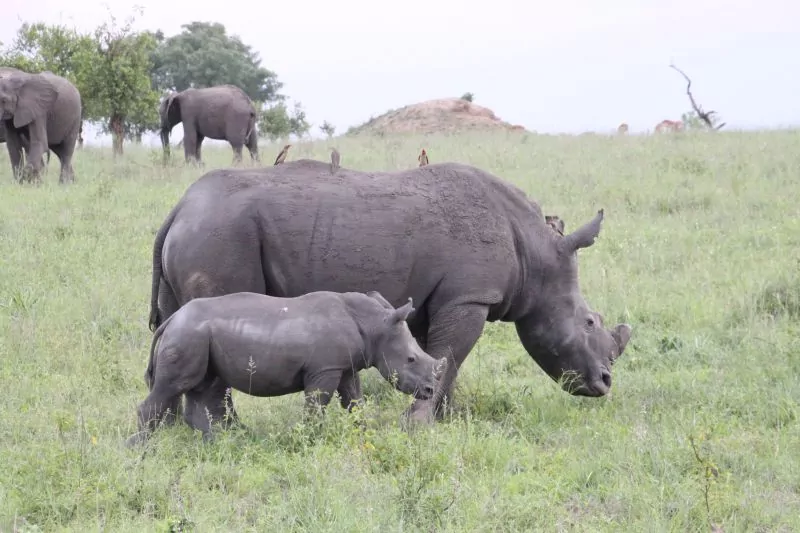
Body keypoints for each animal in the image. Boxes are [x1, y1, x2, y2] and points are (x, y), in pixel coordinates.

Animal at [127, 290, 445, 445]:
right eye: (411, 360)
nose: (430, 390)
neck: (374, 325)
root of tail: (172, 319)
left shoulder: (344, 367)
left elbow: (355, 403)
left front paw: (364, 435)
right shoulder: (325, 369)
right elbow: (316, 405)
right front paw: (309, 441)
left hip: (197, 335)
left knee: (200, 387)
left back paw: (220, 444)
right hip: (189, 335)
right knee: (174, 386)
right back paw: (141, 449)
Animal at [148, 159, 632, 424]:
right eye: (591, 323)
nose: (605, 384)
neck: (536, 255)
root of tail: (179, 208)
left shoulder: (433, 301)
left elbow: (437, 358)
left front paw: (446, 419)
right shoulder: (469, 296)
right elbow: (450, 355)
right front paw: (419, 424)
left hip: (202, 232)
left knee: (176, 324)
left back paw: (177, 433)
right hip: (221, 232)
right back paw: (227, 431)